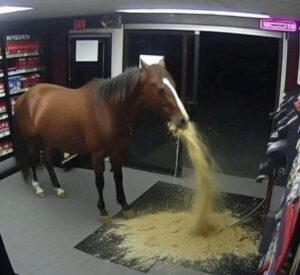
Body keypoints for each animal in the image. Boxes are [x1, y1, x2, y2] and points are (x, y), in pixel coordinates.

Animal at [14, 61, 189, 219]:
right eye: (160, 89)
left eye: (174, 85)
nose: (183, 119)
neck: (108, 109)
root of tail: (24, 97)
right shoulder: (97, 155)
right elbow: (100, 182)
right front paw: (102, 209)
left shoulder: (117, 152)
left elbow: (118, 177)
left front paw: (124, 205)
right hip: (31, 140)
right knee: (32, 161)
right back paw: (38, 188)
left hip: (48, 139)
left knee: (48, 160)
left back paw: (58, 188)